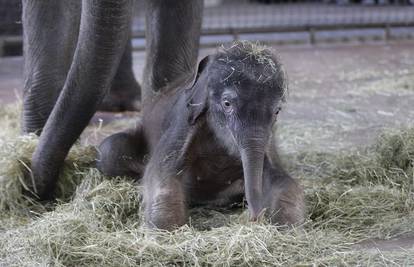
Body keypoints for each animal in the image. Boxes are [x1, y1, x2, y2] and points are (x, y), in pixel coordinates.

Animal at [97, 42, 304, 230]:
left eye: (277, 111)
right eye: (227, 103)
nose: (255, 218)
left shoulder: (269, 139)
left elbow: (281, 178)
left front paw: (288, 228)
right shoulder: (184, 118)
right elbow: (161, 172)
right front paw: (165, 231)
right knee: (110, 150)